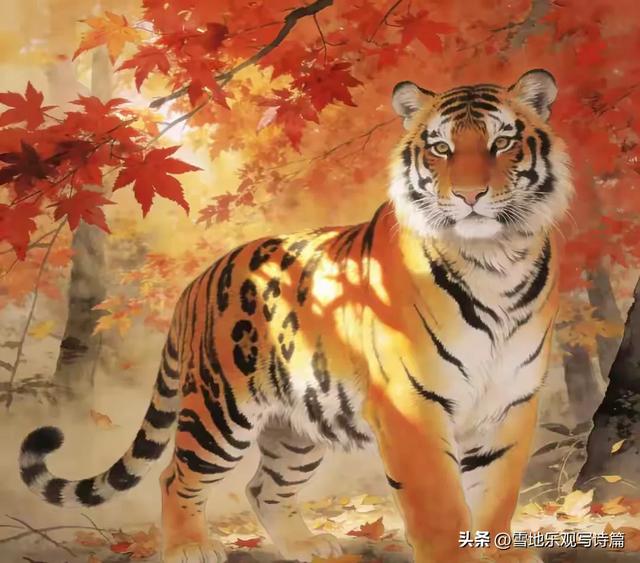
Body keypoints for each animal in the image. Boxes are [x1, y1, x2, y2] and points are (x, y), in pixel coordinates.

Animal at [19, 68, 572, 563]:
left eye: (503, 142)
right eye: (440, 148)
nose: (469, 196)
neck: (494, 262)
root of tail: (198, 281)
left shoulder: (511, 402)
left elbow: (496, 495)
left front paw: (500, 554)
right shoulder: (412, 404)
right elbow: (437, 501)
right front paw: (451, 555)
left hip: (299, 424)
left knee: (264, 487)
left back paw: (307, 546)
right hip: (220, 410)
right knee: (176, 475)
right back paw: (188, 548)